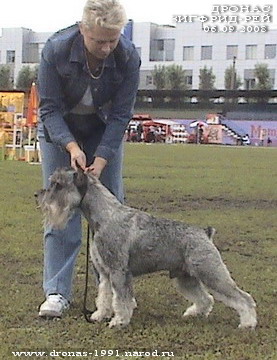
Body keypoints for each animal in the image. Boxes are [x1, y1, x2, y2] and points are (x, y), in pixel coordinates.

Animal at [35, 169, 256, 330]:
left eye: (58, 184)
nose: (38, 194)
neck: (105, 216)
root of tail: (205, 232)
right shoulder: (105, 274)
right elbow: (104, 297)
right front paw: (99, 315)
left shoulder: (118, 272)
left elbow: (121, 300)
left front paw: (119, 321)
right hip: (185, 277)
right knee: (205, 299)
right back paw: (195, 313)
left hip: (211, 273)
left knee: (243, 298)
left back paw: (247, 323)